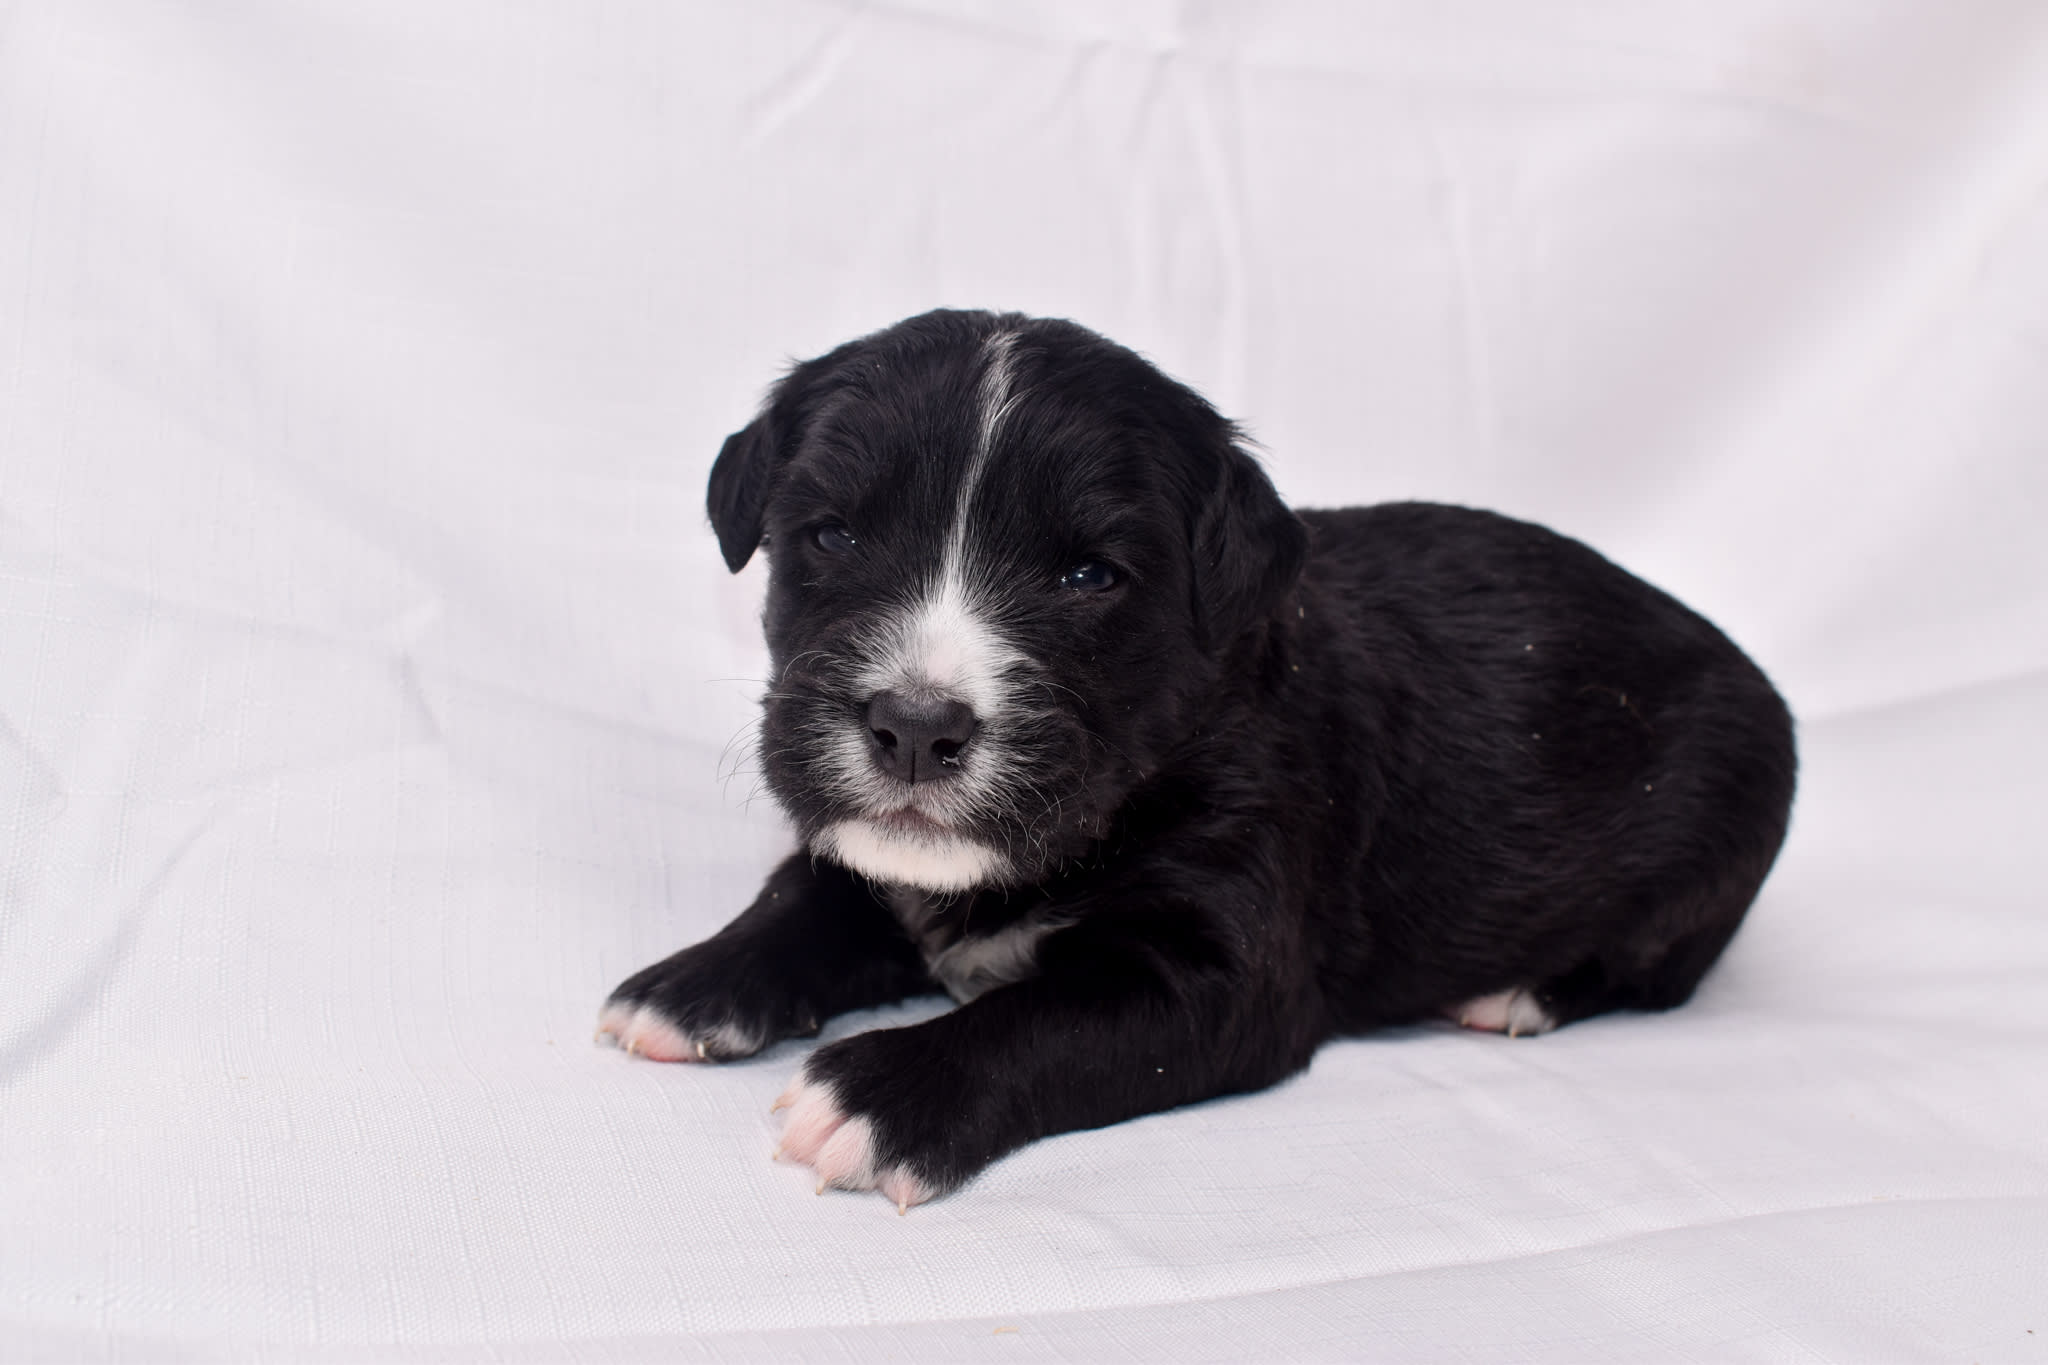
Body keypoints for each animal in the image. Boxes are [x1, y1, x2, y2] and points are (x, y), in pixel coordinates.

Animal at [593, 306, 1794, 1203]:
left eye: (1089, 576)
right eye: (833, 534)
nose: (916, 728)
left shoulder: (1226, 973)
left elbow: (1043, 1019)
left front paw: (879, 1094)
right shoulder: (867, 854)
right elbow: (806, 894)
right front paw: (692, 984)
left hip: (1717, 841)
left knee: (1651, 967)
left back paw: (1518, 993)